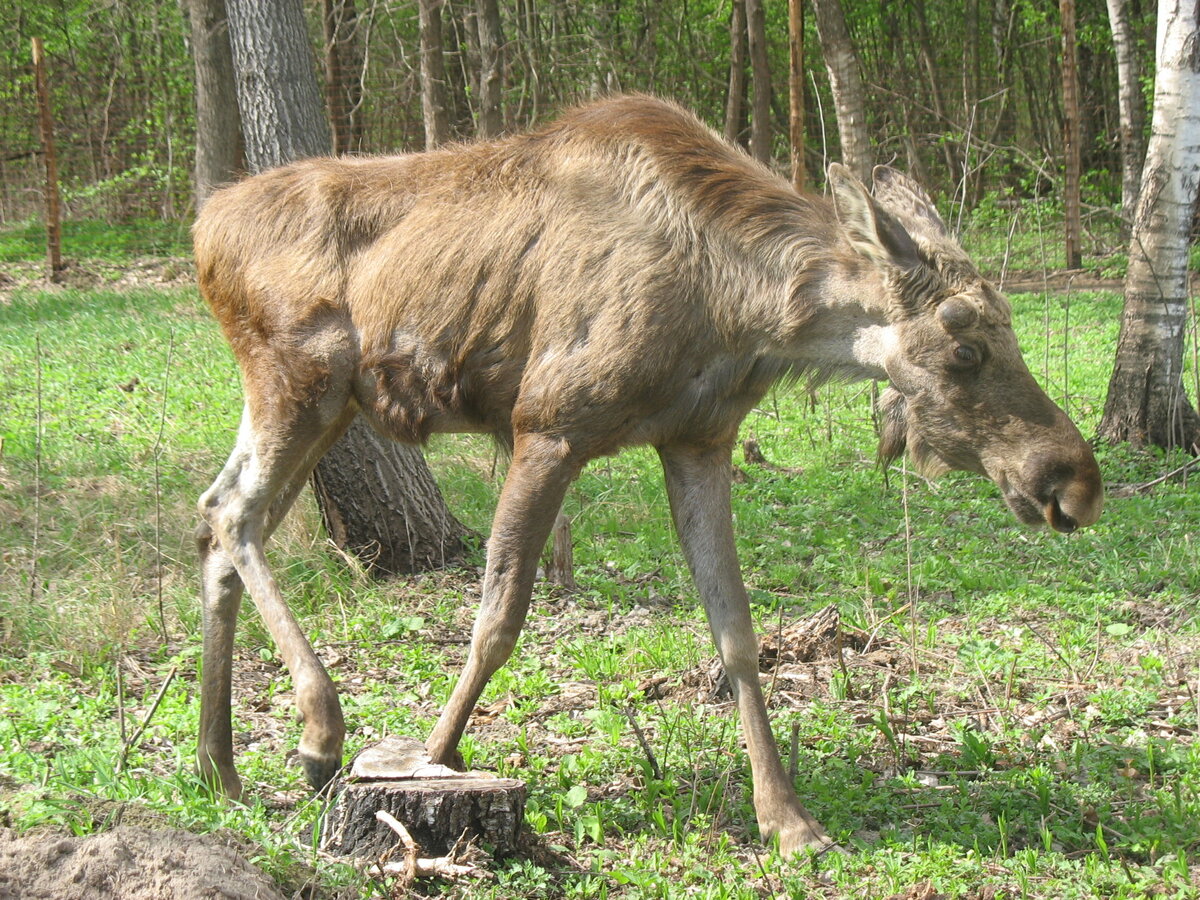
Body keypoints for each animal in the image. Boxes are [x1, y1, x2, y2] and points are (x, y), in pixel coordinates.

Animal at [192, 95, 1099, 854]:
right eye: (965, 345)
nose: (1073, 483)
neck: (740, 309)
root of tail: (202, 229)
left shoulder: (698, 441)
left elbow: (737, 633)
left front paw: (790, 820)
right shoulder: (548, 423)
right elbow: (499, 616)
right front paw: (437, 753)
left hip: (324, 404)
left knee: (215, 516)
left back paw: (220, 767)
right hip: (299, 377)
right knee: (235, 514)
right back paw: (318, 733)